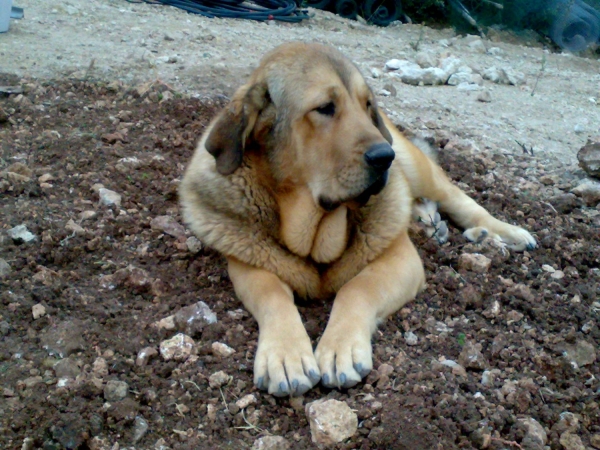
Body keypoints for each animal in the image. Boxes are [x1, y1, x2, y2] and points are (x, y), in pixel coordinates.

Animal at [178, 42, 536, 398]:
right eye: (325, 108)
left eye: (367, 105)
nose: (384, 157)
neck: (315, 226)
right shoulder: (248, 262)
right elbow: (273, 295)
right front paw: (285, 354)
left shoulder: (400, 256)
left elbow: (357, 288)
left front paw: (340, 348)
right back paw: (429, 220)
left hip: (417, 166)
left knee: (456, 196)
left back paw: (500, 232)